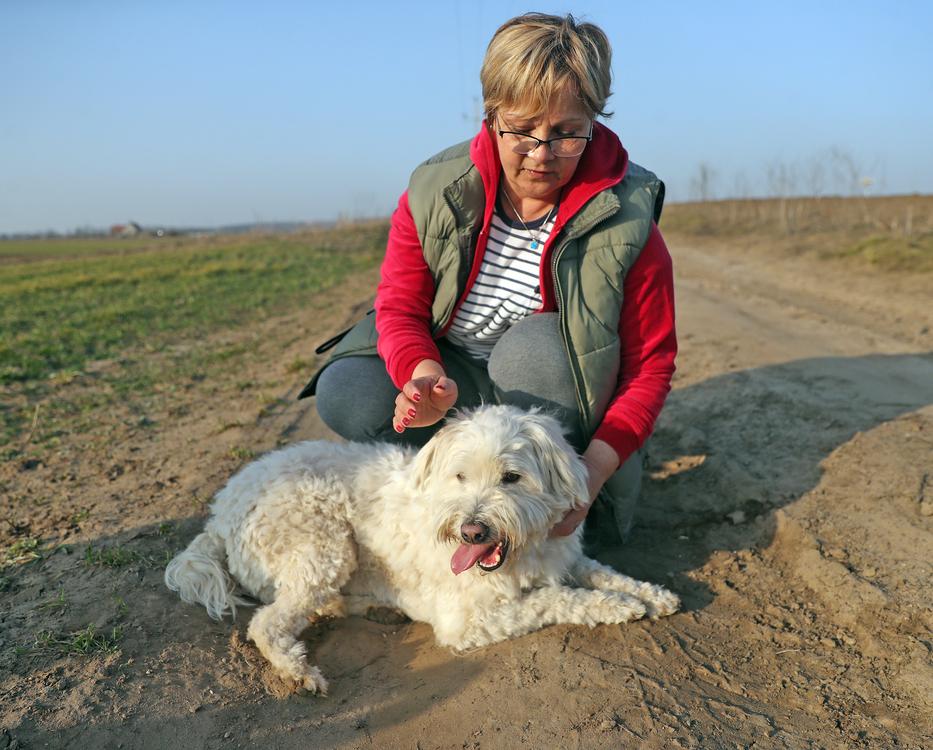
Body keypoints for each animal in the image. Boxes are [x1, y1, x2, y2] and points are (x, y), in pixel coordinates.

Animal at [166, 408, 676, 696]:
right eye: (460, 476)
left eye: (512, 477)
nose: (471, 531)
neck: (522, 552)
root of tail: (219, 513)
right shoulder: (466, 622)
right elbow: (556, 599)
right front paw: (619, 606)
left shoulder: (564, 558)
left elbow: (601, 571)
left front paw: (651, 594)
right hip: (324, 544)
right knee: (268, 623)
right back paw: (298, 672)